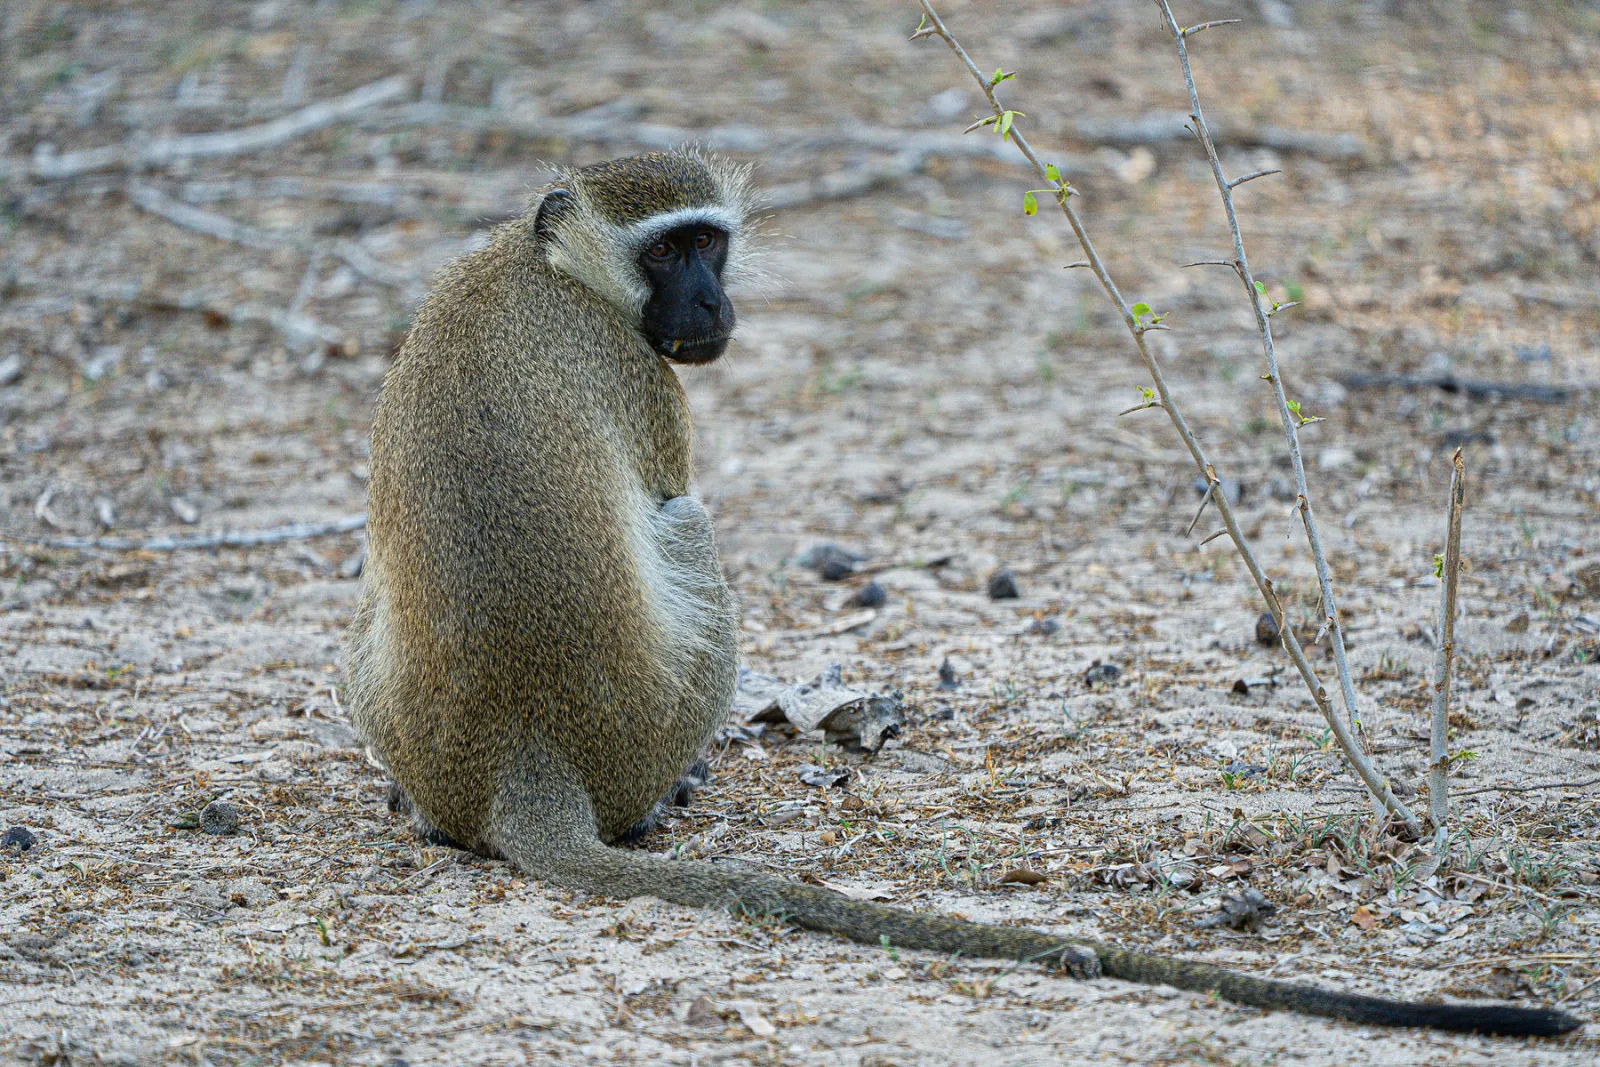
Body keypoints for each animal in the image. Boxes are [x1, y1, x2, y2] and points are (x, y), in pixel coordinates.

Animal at [345, 150, 1579, 1039]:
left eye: (711, 245)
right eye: (671, 251)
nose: (708, 305)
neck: (547, 268)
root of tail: (523, 750)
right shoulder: (642, 374)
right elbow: (666, 486)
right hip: (640, 711)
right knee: (686, 525)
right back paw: (656, 795)